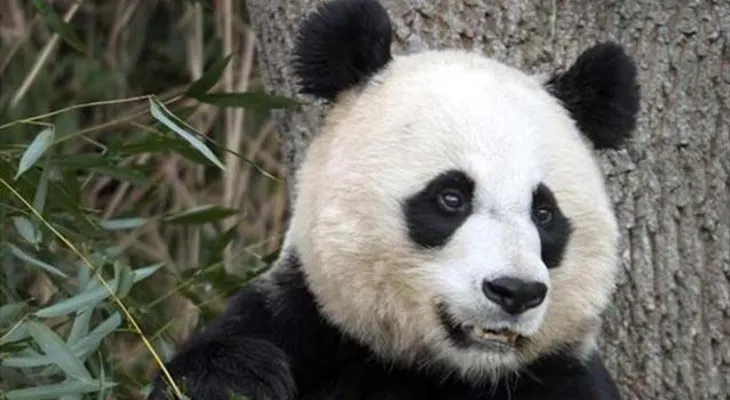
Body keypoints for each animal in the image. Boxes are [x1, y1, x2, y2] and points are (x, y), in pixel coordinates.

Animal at [147, 0, 640, 399]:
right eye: (451, 197)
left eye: (544, 213)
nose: (515, 292)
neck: (452, 371)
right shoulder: (307, 322)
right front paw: (242, 379)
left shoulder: (560, 375)